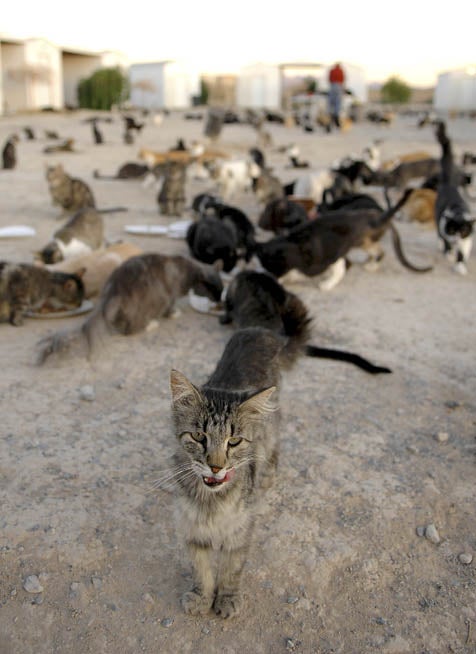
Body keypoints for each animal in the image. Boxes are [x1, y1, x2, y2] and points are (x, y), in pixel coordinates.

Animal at [36, 254, 223, 363]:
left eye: (222, 289)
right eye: (215, 291)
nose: (220, 299)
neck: (187, 271)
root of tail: (113, 291)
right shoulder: (171, 295)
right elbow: (170, 307)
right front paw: (174, 313)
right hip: (155, 298)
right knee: (132, 329)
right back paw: (151, 324)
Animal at [169, 326, 283, 618]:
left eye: (234, 441)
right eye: (199, 436)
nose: (216, 466)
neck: (213, 503)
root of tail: (257, 330)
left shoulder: (240, 530)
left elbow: (232, 569)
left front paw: (227, 599)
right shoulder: (193, 530)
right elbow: (201, 570)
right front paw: (201, 598)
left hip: (273, 426)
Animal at [434, 121, 475, 274]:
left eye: (463, 231)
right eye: (452, 230)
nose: (456, 240)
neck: (458, 212)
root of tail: (449, 185)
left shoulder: (467, 239)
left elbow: (462, 253)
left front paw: (460, 265)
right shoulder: (445, 229)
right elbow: (447, 242)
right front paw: (450, 254)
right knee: (439, 236)